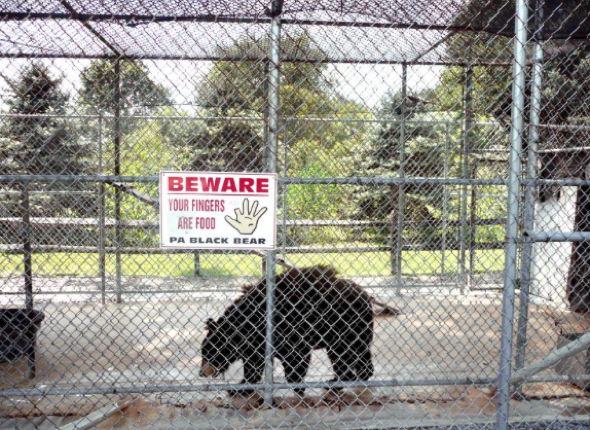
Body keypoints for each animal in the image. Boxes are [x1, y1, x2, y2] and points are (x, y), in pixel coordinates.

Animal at [199, 266, 374, 396]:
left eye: (208, 353)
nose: (202, 373)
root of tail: (366, 296)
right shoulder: (258, 344)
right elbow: (254, 365)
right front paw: (241, 387)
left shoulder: (288, 330)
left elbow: (296, 358)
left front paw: (297, 386)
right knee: (360, 354)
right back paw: (358, 377)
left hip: (345, 327)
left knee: (344, 354)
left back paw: (336, 382)